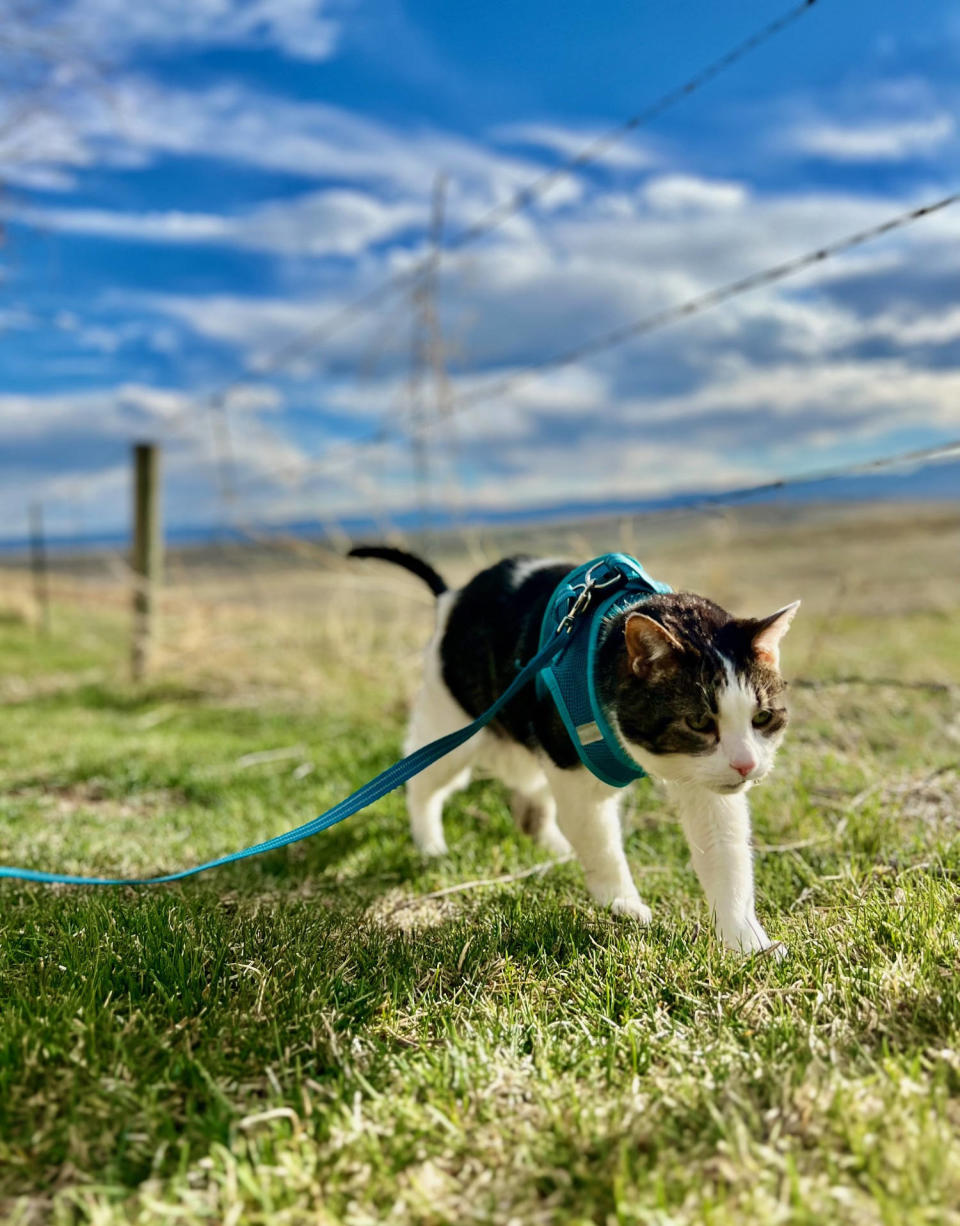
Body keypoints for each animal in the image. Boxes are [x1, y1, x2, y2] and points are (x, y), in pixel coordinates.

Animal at [348, 546, 799, 956]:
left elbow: (726, 855)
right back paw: (430, 845)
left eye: (762, 718)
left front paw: (747, 943)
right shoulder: (575, 775)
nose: (746, 765)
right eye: (701, 723)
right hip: (452, 727)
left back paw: (554, 846)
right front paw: (623, 904)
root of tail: (452, 597)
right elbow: (601, 844)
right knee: (423, 784)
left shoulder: (707, 787)